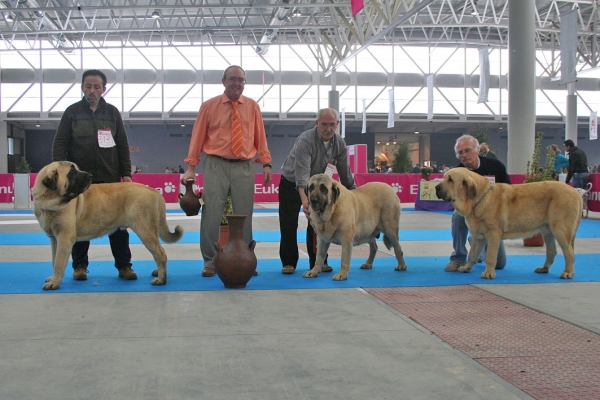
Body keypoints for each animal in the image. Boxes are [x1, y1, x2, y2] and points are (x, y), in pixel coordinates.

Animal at [32, 161, 183, 290]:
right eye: (72, 171)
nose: (90, 175)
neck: (50, 199)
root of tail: (153, 190)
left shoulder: (64, 237)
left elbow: (58, 262)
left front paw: (54, 282)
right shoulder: (54, 239)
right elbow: (54, 259)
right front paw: (53, 278)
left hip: (145, 230)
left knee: (160, 253)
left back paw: (161, 280)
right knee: (159, 252)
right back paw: (158, 272)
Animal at [434, 167, 584, 280]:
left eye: (451, 180)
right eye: (445, 178)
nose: (436, 187)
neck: (478, 198)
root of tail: (575, 192)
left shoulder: (493, 234)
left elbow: (491, 256)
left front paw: (488, 273)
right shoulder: (479, 237)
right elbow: (472, 254)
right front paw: (466, 267)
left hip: (560, 229)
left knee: (569, 252)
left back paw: (568, 272)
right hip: (548, 231)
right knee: (552, 251)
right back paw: (544, 268)